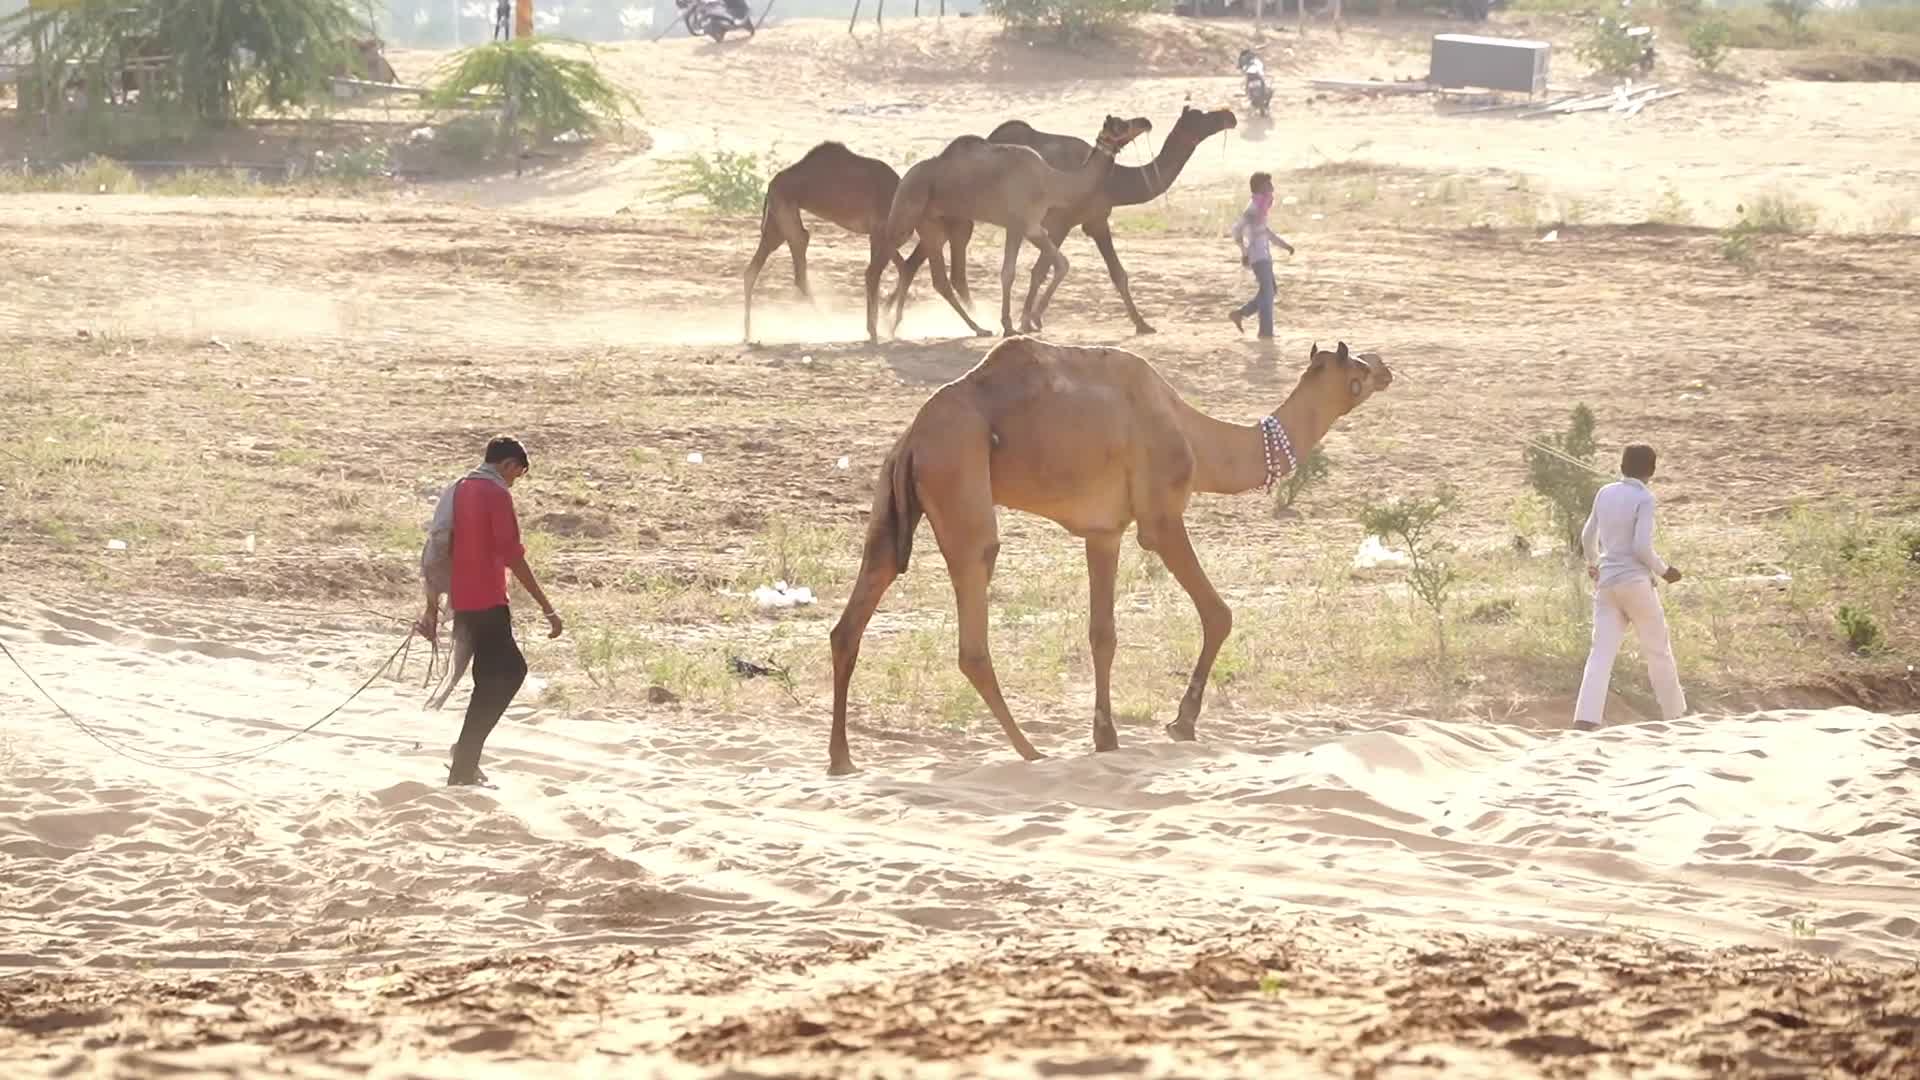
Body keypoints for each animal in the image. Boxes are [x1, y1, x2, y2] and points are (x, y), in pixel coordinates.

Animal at [742, 141, 921, 342]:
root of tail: (770, 185)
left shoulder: (878, 235)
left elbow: (900, 268)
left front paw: (883, 325)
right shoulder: (882, 232)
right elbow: (879, 272)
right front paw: (876, 329)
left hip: (776, 224)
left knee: (752, 271)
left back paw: (748, 334)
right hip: (786, 215)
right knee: (799, 267)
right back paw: (828, 324)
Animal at [826, 338, 1394, 775]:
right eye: (1358, 369)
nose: (1387, 366)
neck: (1197, 438)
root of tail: (913, 437)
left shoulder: (1103, 532)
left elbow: (1103, 634)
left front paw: (1106, 736)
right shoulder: (1160, 518)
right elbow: (1219, 613)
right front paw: (1182, 721)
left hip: (893, 500)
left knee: (854, 613)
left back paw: (842, 759)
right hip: (959, 473)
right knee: (973, 628)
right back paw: (1030, 750)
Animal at [865, 114, 1153, 343]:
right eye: (1122, 124)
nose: (1146, 122)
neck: (1052, 181)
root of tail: (906, 175)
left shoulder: (1027, 227)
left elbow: (1049, 265)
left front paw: (1021, 322)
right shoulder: (1021, 224)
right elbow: (1021, 270)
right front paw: (1017, 323)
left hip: (932, 223)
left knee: (939, 279)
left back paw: (973, 328)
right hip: (906, 211)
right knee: (876, 267)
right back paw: (874, 330)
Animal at [930, 105, 1239, 337]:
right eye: (1201, 115)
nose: (1229, 115)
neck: (1114, 183)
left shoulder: (1092, 221)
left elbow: (1115, 273)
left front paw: (1142, 323)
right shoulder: (1066, 222)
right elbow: (1042, 270)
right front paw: (1029, 320)